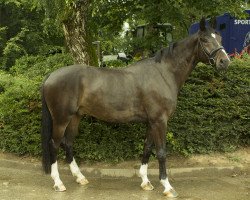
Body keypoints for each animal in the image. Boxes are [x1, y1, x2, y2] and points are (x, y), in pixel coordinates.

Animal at [41, 18, 230, 197]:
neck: (164, 73)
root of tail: (51, 76)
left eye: (220, 37)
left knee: (68, 143)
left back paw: (80, 177)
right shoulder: (160, 121)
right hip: (61, 119)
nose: (224, 61)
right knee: (54, 144)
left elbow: (147, 148)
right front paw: (167, 186)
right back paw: (58, 183)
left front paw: (145, 182)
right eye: (205, 39)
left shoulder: (151, 122)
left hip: (75, 117)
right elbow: (161, 152)